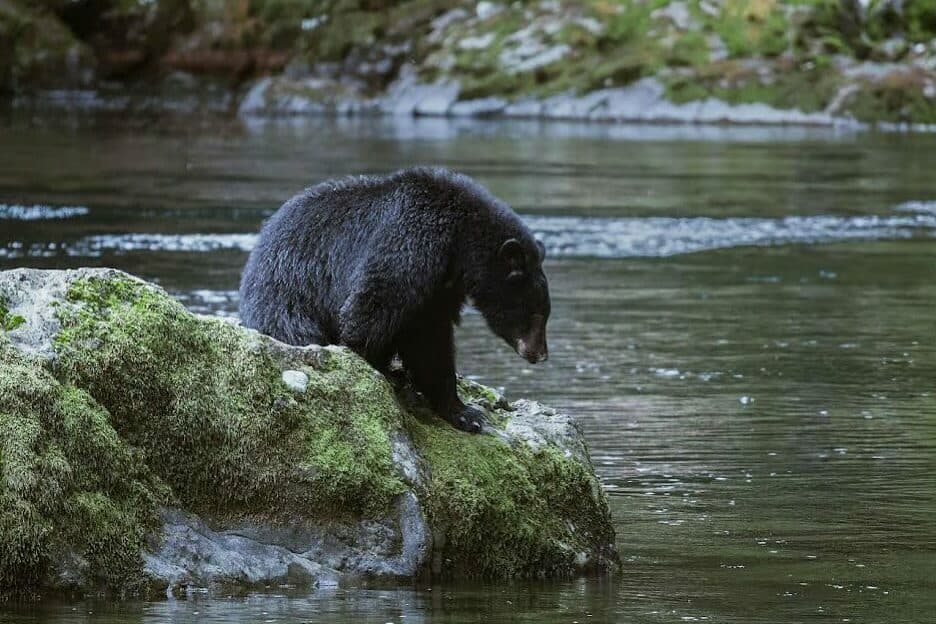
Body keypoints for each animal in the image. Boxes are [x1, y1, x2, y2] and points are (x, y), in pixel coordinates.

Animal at [239, 166, 550, 433]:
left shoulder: (438, 290)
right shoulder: (410, 242)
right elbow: (372, 305)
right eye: (536, 313)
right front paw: (375, 371)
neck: (458, 241)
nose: (540, 354)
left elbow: (430, 340)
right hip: (287, 295)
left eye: (545, 313)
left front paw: (463, 412)